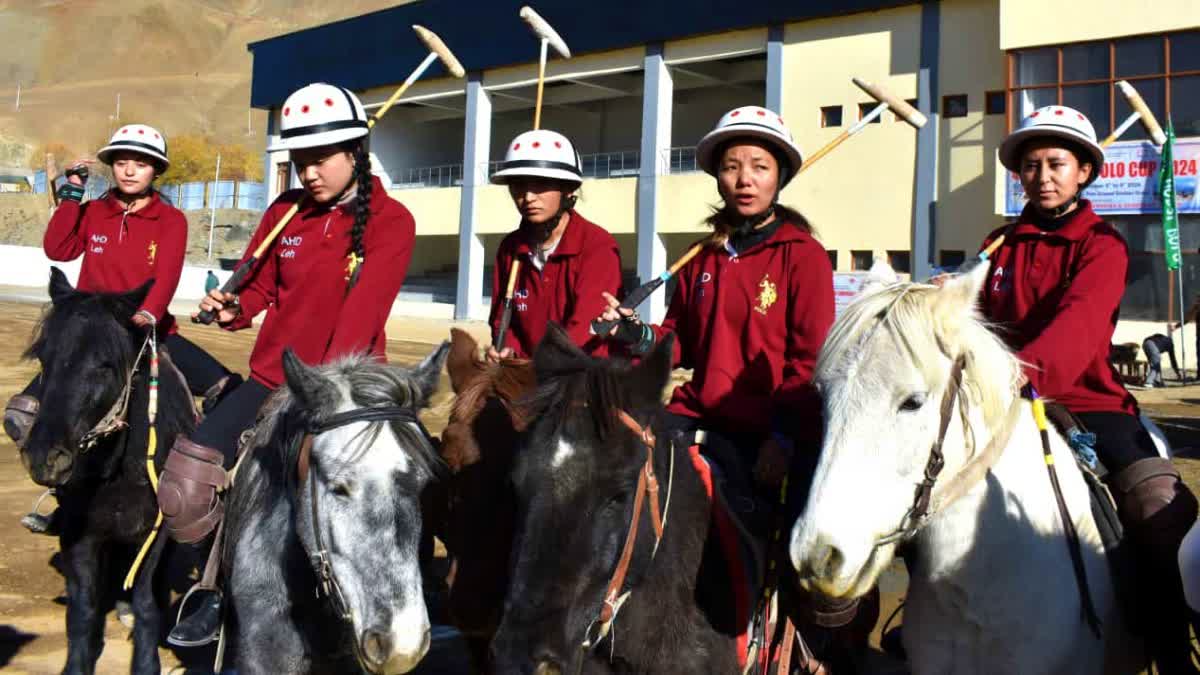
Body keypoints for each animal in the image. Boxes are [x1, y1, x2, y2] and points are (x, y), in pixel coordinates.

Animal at [19, 267, 196, 672]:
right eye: (43, 358)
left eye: (105, 365)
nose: (45, 458)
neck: (118, 471)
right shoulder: (79, 533)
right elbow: (82, 610)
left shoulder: (154, 536)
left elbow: (147, 602)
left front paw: (146, 662)